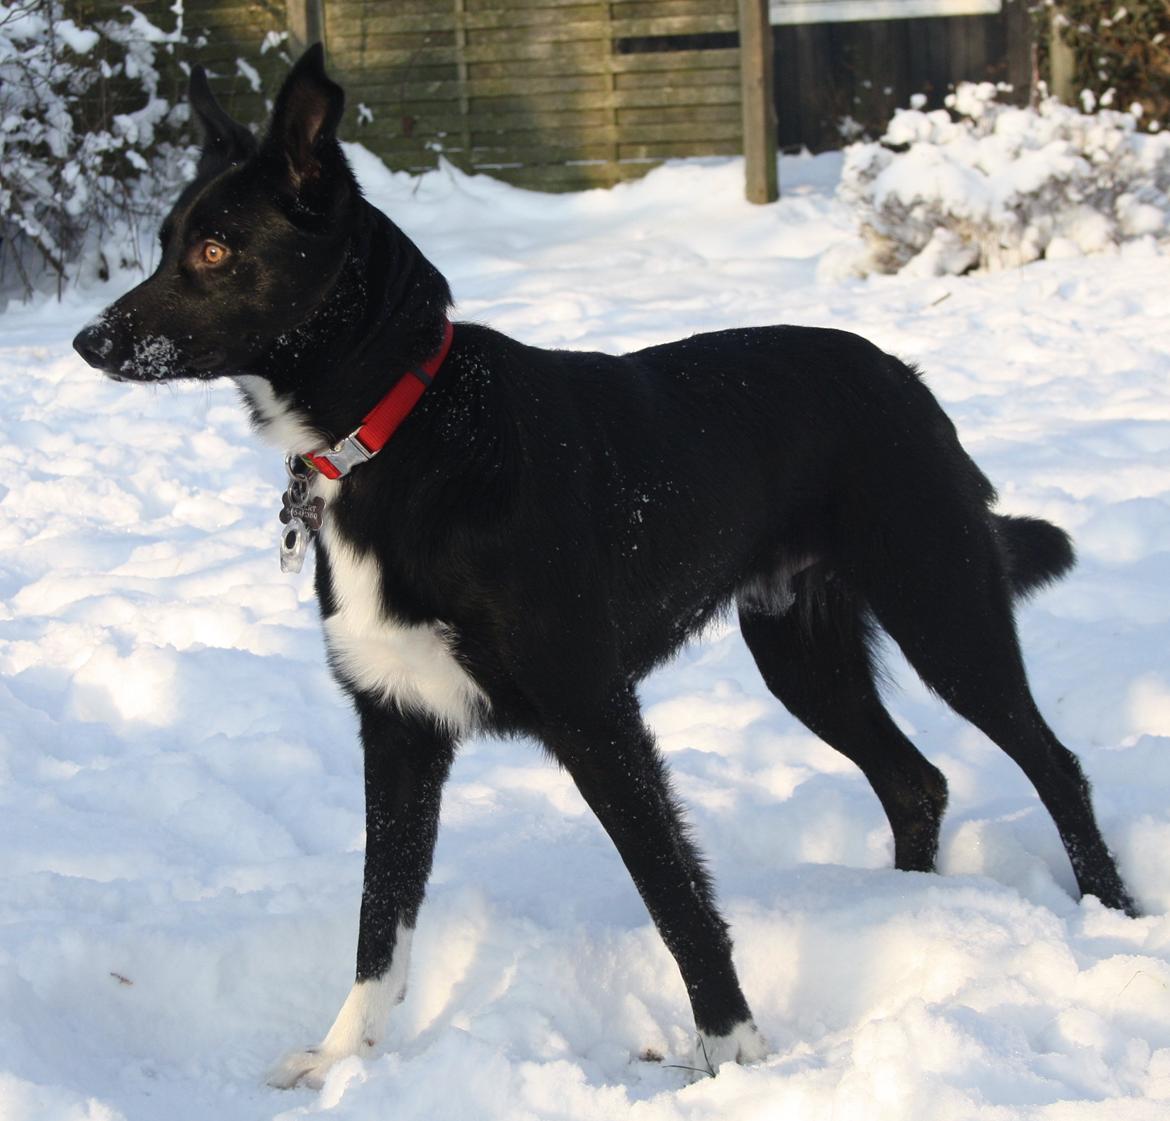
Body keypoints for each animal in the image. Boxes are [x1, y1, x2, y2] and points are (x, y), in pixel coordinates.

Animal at [70, 48, 1132, 1090]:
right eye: (166, 243)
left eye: (215, 251)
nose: (89, 341)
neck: (403, 430)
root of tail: (903, 376)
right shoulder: (399, 725)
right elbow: (380, 920)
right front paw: (341, 1059)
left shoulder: (595, 713)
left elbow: (675, 896)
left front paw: (736, 1059)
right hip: (803, 655)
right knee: (916, 782)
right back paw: (906, 913)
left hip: (943, 610)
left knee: (1055, 764)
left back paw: (1110, 914)